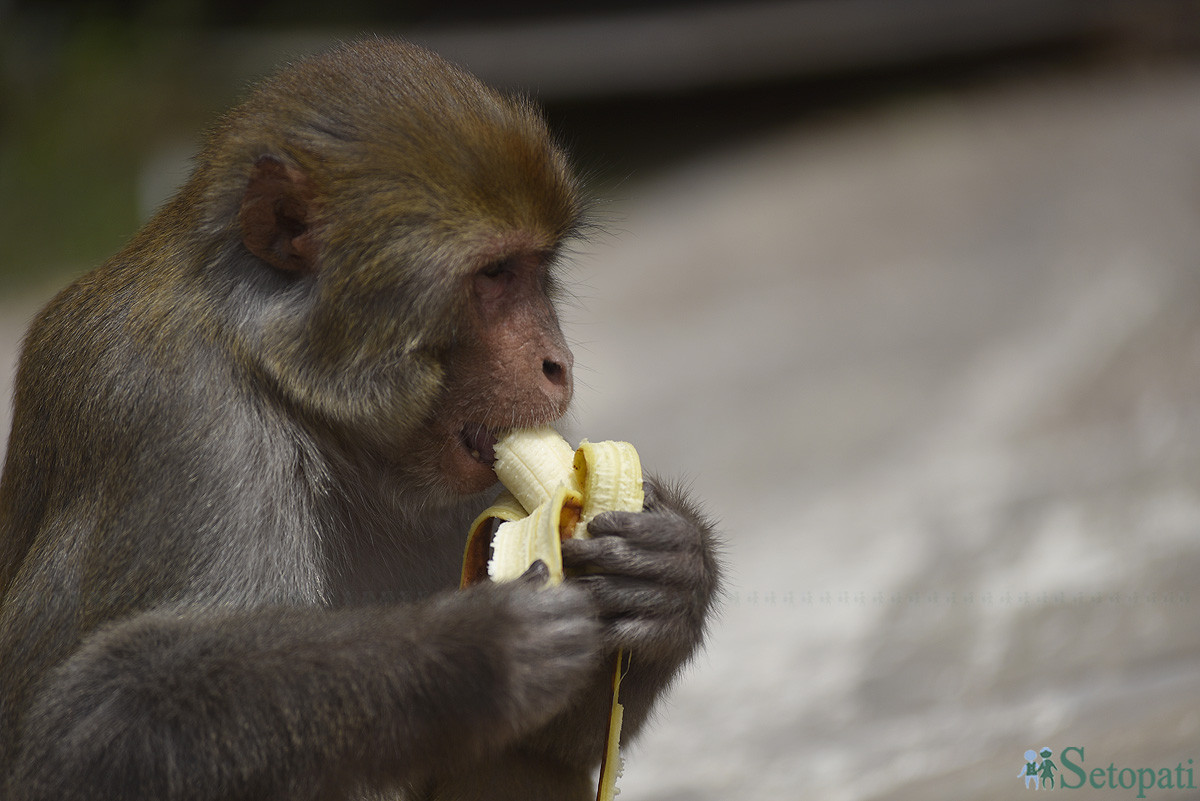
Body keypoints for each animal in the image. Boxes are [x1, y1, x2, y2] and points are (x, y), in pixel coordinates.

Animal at [0, 35, 720, 801]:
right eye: (494, 274)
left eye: (536, 267)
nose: (559, 363)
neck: (307, 406)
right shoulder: (177, 412)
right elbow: (91, 717)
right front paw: (467, 654)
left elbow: (554, 738)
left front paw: (673, 575)